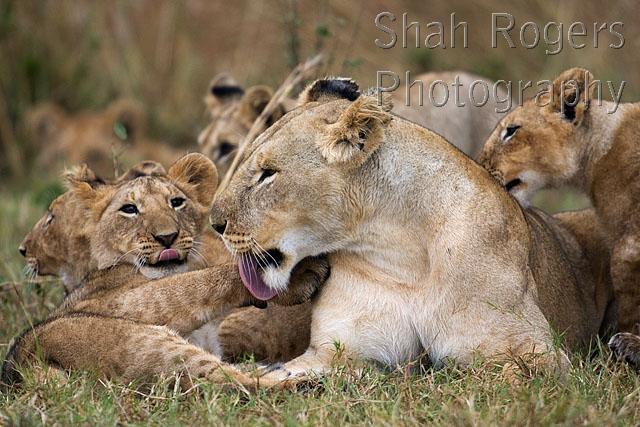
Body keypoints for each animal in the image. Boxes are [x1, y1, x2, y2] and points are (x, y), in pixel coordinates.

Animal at [4, 153, 328, 389]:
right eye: (129, 209)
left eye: (176, 202)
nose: (167, 237)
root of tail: (21, 373)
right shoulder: (126, 303)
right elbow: (193, 285)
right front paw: (295, 274)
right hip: (146, 344)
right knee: (237, 386)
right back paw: (311, 380)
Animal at [209, 77, 617, 384]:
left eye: (267, 174)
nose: (215, 223)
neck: (400, 252)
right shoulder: (335, 351)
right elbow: (276, 376)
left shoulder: (538, 352)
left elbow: (496, 374)